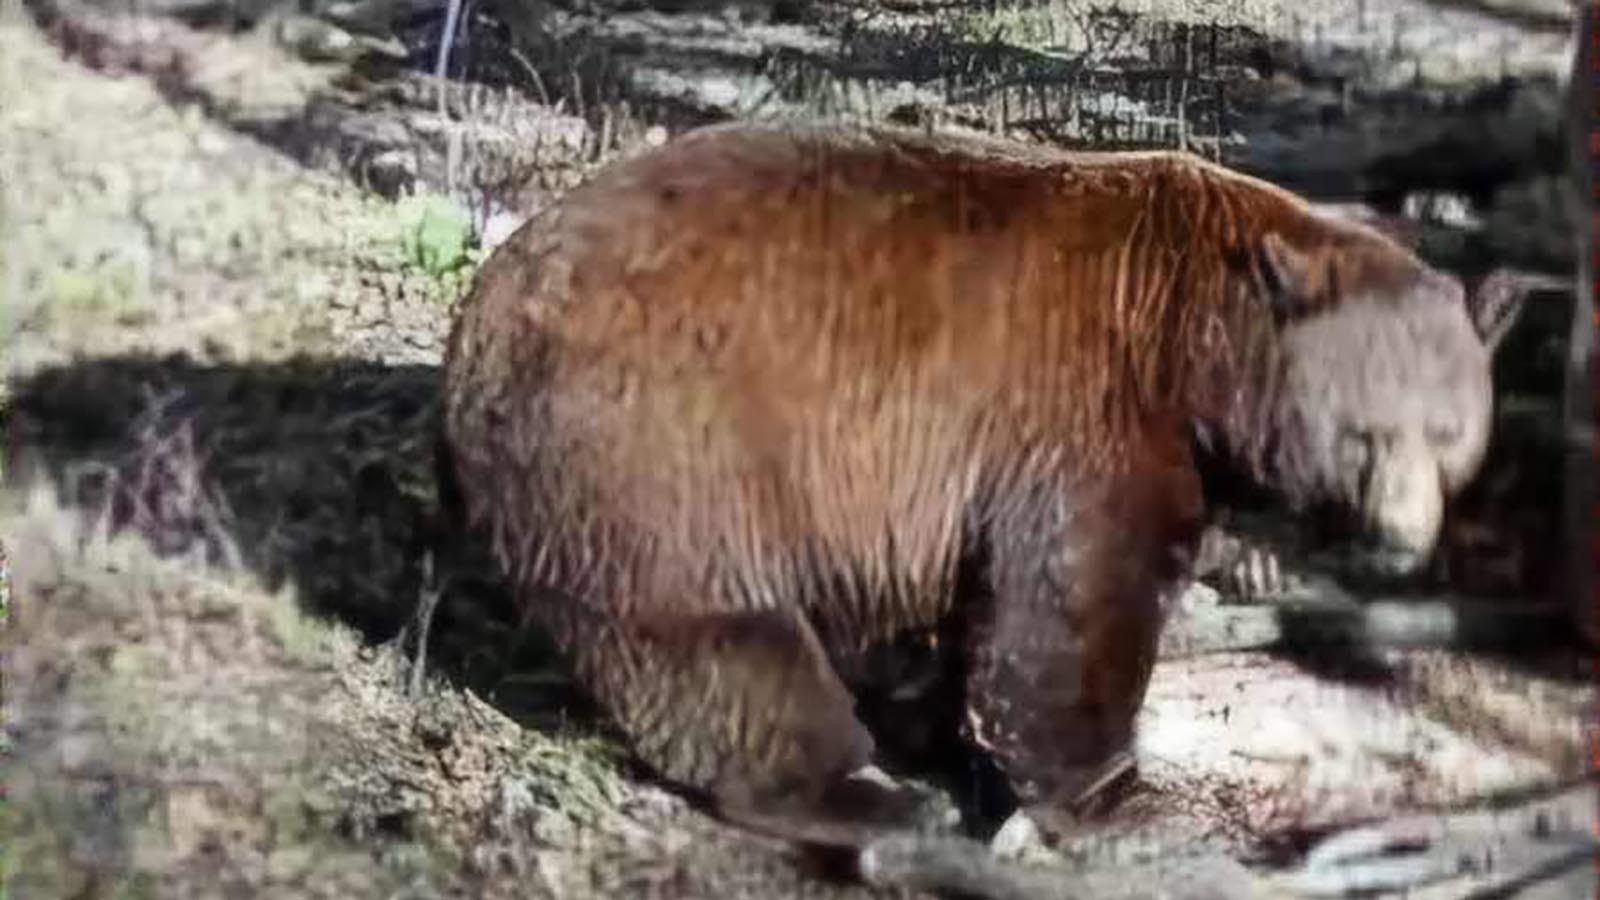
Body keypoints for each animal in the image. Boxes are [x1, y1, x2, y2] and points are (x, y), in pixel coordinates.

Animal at [441, 120, 1510, 845]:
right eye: (1365, 437)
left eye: (1451, 438)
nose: (1400, 546)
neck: (1197, 339)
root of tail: (477, 322)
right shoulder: (1084, 407)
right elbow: (1072, 607)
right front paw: (1120, 793)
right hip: (664, 450)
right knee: (719, 639)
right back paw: (865, 794)